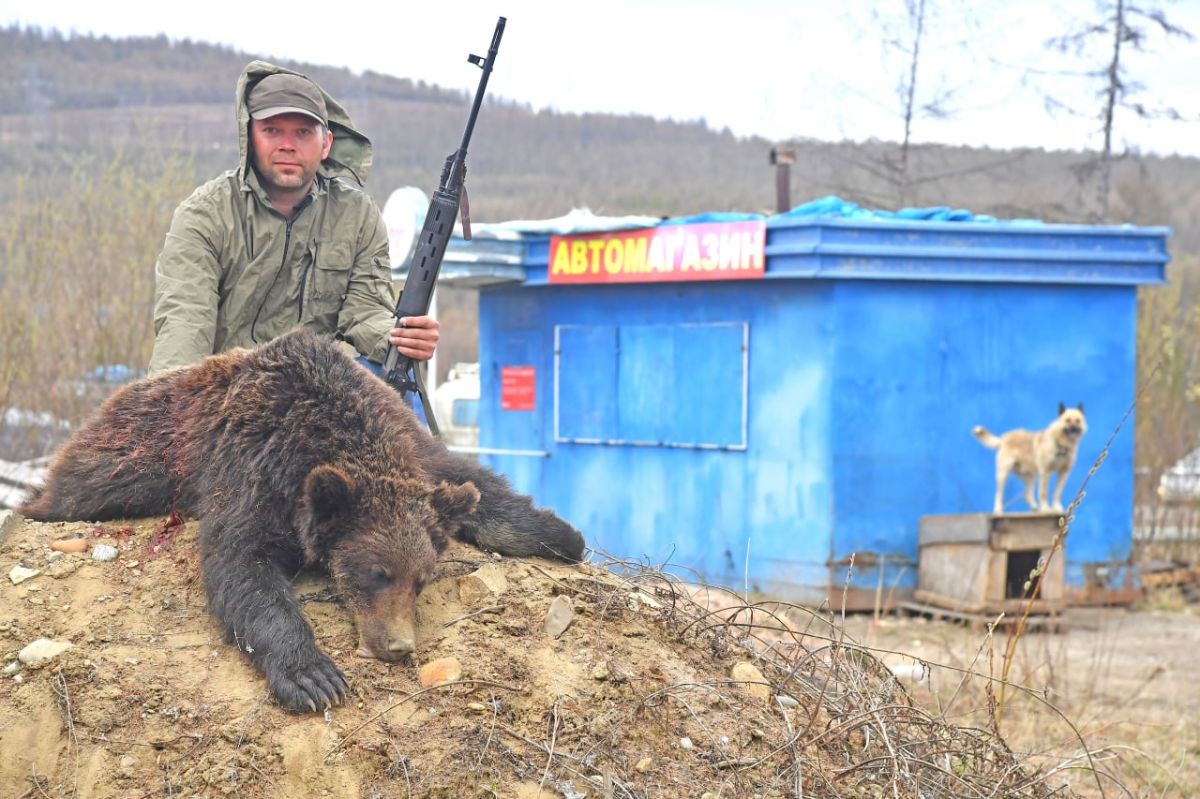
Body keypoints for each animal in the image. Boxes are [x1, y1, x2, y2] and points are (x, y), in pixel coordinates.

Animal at [21, 329, 585, 712]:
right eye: (377, 573)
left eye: (421, 580)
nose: (399, 647)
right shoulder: (253, 467)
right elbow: (241, 567)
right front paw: (313, 677)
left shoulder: (414, 452)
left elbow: (477, 485)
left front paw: (564, 535)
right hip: (131, 457)